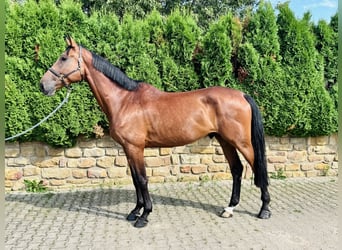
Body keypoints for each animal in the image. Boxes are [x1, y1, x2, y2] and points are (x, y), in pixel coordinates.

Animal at [39, 36, 270, 227]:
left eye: (63, 58)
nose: (43, 85)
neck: (125, 100)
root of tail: (241, 94)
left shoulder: (135, 147)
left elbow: (142, 179)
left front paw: (144, 216)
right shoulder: (128, 149)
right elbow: (135, 179)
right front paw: (135, 211)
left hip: (242, 142)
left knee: (258, 167)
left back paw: (264, 210)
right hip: (225, 140)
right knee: (237, 169)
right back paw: (229, 208)